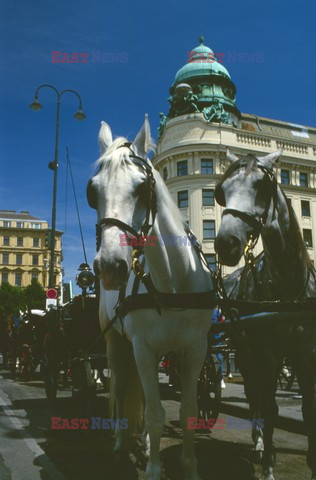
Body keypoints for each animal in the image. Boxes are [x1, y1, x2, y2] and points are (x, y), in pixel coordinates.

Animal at [87, 117, 214, 480]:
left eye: (143, 187)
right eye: (92, 192)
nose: (111, 266)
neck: (172, 283)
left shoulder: (195, 349)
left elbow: (187, 409)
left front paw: (189, 467)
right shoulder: (142, 347)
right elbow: (157, 413)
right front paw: (155, 468)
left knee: (142, 395)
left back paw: (141, 442)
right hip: (117, 344)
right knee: (119, 389)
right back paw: (121, 443)